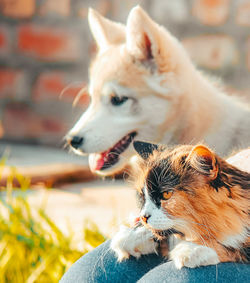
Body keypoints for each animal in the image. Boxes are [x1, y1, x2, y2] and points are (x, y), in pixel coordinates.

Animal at [112, 143, 250, 270]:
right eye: (142, 196)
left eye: (166, 194)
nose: (144, 217)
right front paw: (133, 235)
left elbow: (236, 248)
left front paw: (192, 249)